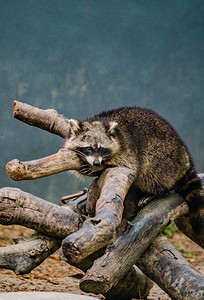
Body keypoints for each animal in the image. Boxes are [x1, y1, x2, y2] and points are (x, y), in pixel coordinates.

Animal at [64, 107, 204, 234]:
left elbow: (130, 166)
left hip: (163, 155)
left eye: (102, 149)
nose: (96, 163)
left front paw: (100, 167)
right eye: (88, 148)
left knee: (150, 171)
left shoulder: (127, 149)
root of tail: (184, 153)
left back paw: (156, 192)